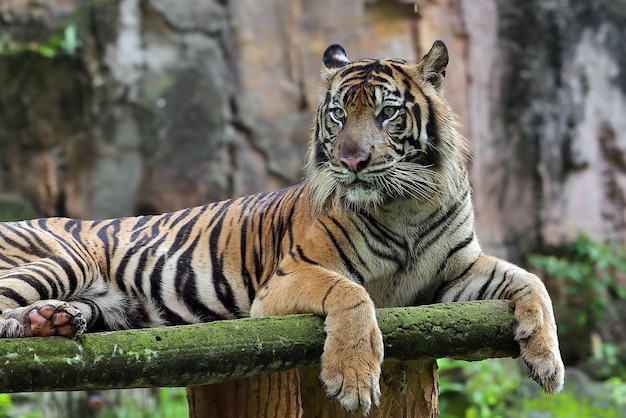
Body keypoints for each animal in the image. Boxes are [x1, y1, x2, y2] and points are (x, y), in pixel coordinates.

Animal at [0, 40, 560, 414]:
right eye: (338, 115)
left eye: (387, 113)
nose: (351, 161)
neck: (404, 206)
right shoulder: (287, 280)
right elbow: (352, 293)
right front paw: (353, 380)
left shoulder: (456, 272)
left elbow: (532, 281)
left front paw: (547, 361)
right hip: (64, 257)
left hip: (109, 305)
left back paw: (54, 320)